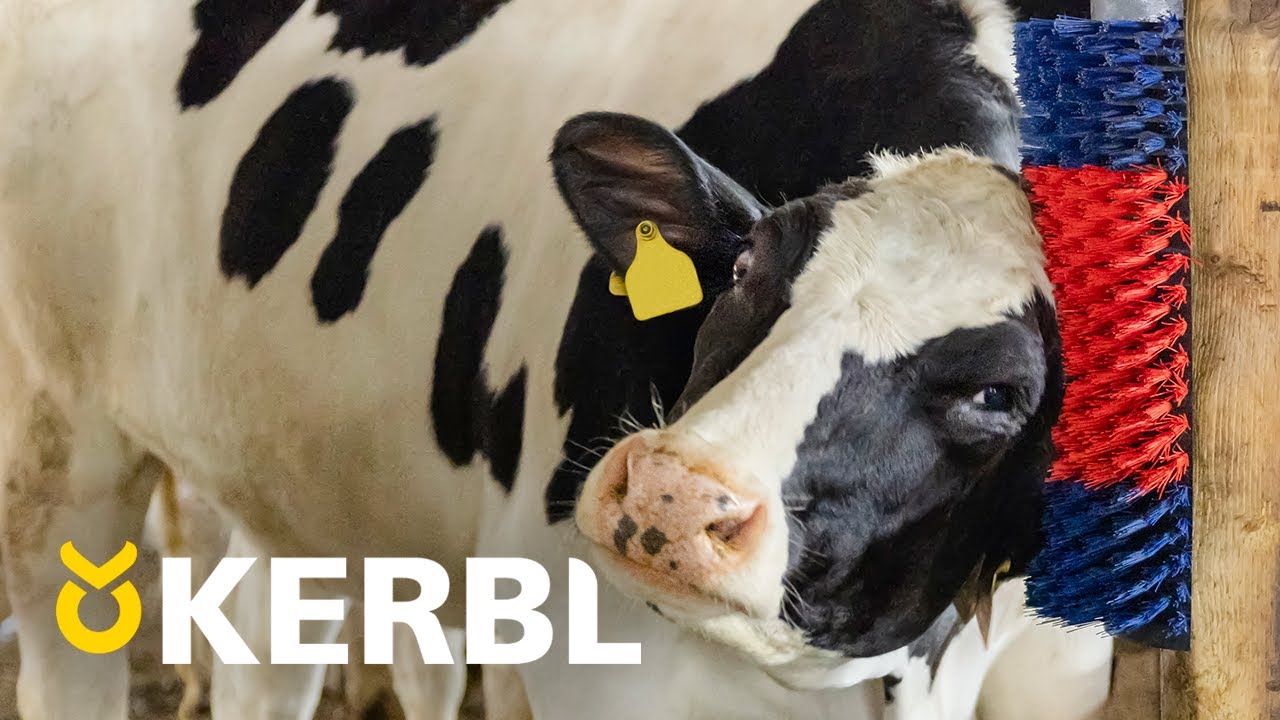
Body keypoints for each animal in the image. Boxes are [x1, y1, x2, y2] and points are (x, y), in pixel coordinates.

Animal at [0, 0, 1114, 719]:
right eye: (745, 263)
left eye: (997, 391)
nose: (671, 495)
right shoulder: (594, 641)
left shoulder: (1058, 668)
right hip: (53, 429)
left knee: (264, 639)